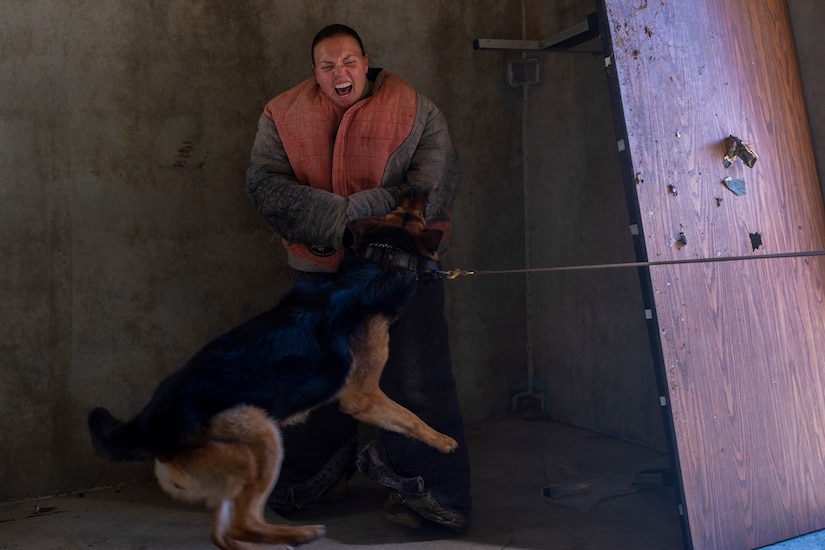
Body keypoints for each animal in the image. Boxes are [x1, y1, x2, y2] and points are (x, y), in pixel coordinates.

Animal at [90, 188, 458, 548]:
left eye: (400, 209)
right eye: (413, 213)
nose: (415, 187)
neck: (379, 261)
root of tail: (148, 423)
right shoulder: (363, 396)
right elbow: (409, 416)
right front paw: (441, 439)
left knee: (225, 532)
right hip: (263, 439)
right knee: (242, 523)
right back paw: (297, 535)